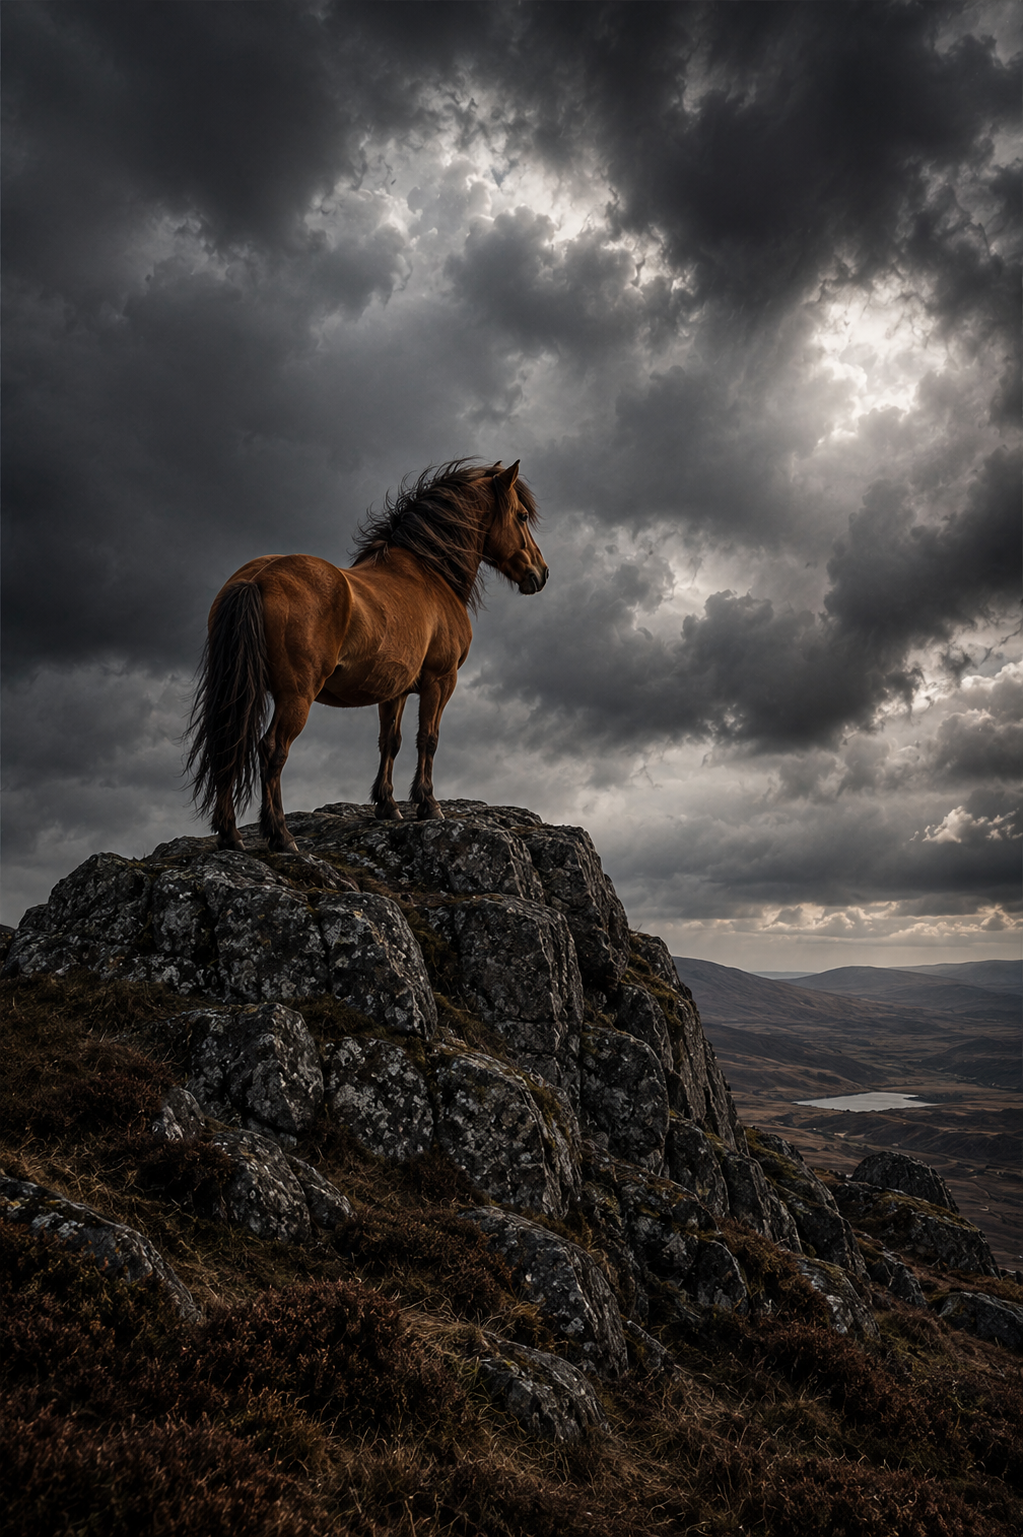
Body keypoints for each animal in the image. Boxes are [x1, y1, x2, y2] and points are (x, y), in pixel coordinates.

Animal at [186, 459, 548, 852]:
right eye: (522, 515)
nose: (541, 573)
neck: (430, 573)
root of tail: (257, 578)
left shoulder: (395, 690)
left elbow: (391, 741)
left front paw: (388, 805)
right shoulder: (440, 680)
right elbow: (428, 739)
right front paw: (428, 804)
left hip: (238, 691)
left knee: (230, 743)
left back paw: (231, 835)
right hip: (296, 696)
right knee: (271, 750)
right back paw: (281, 835)